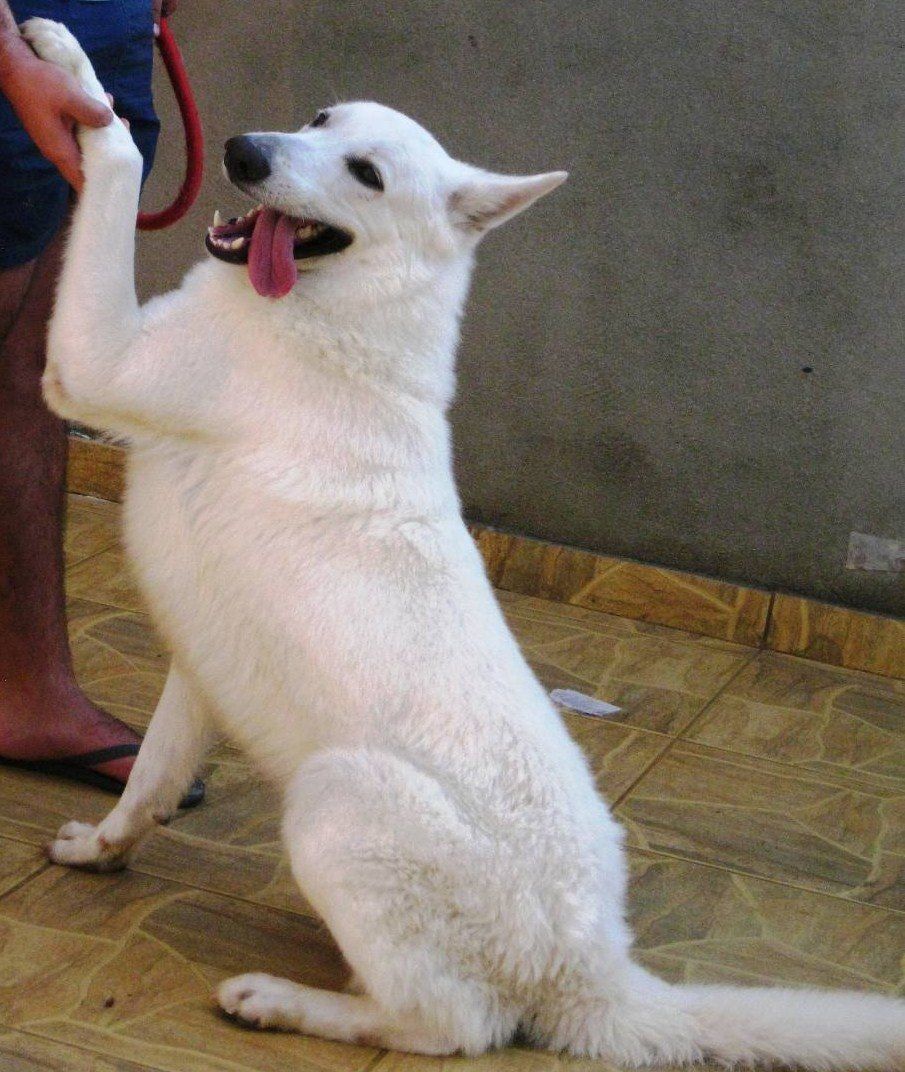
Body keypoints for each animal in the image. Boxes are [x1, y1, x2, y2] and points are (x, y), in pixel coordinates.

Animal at [24, 18, 905, 1072]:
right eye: (318, 120)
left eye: (365, 173)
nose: (240, 152)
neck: (338, 312)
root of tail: (592, 973)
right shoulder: (203, 663)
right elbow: (154, 779)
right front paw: (103, 847)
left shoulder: (87, 365)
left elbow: (115, 161)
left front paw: (69, 66)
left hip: (332, 798)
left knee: (450, 1026)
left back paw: (279, 1000)